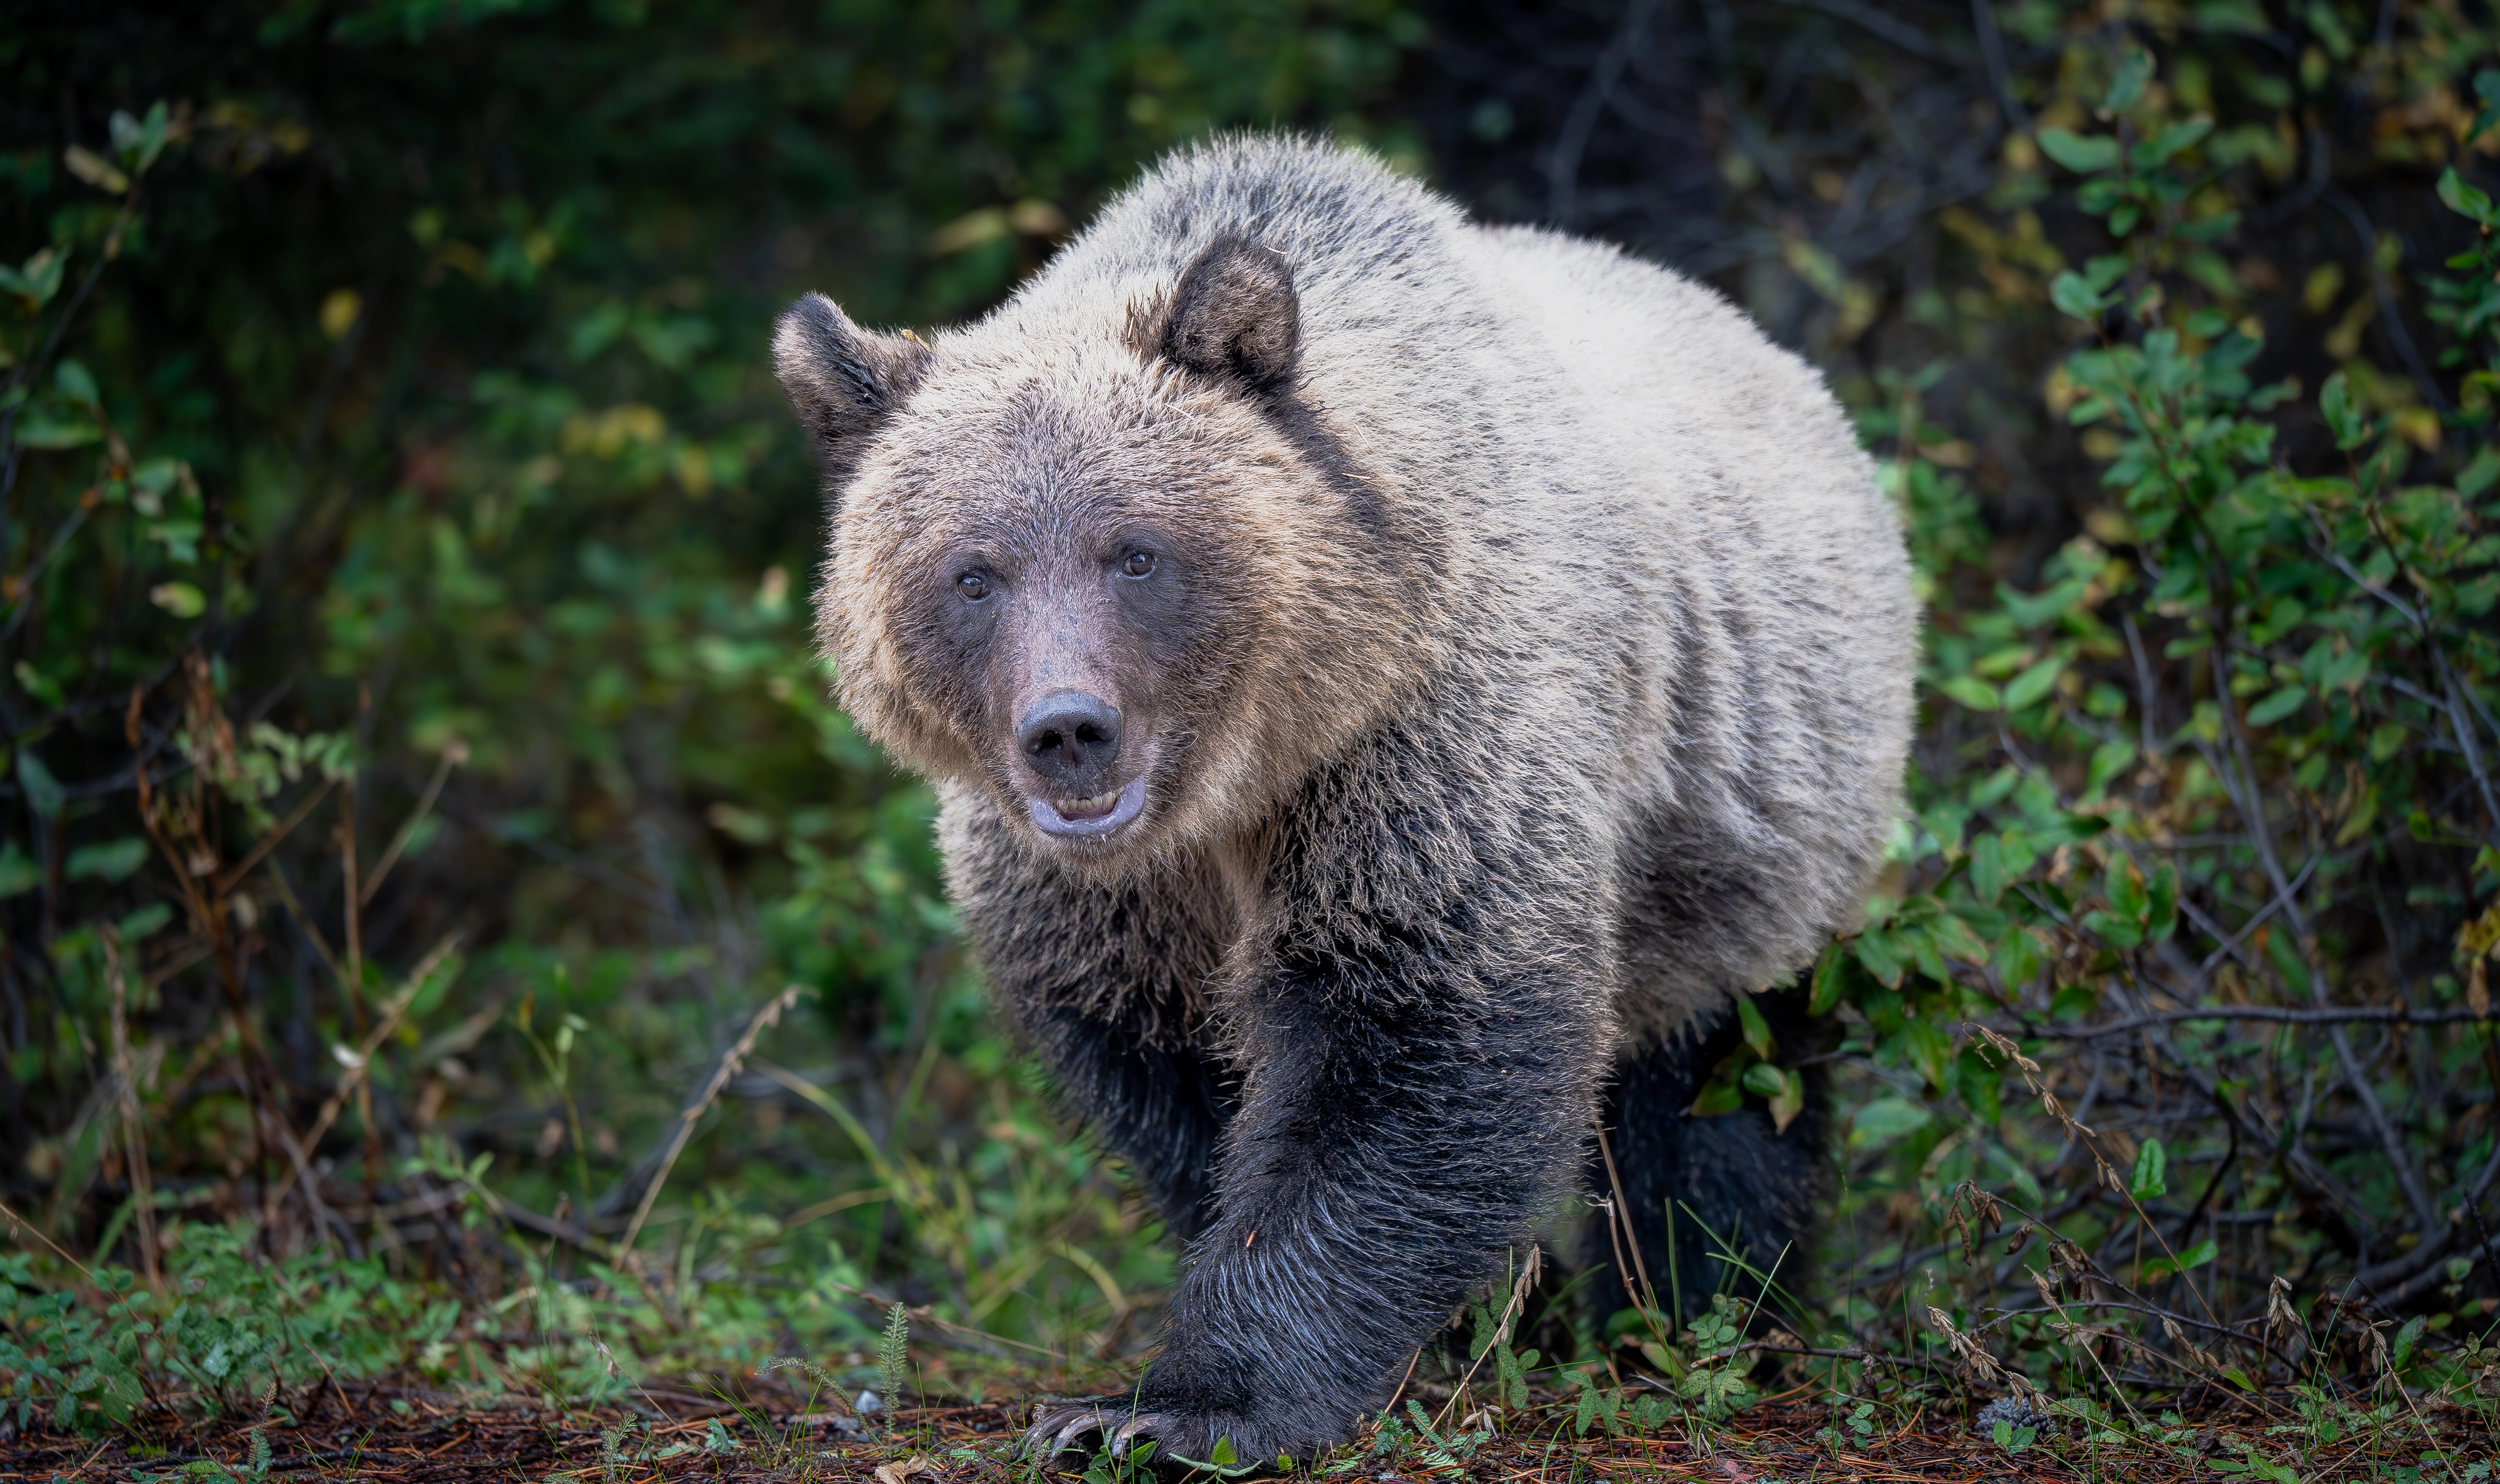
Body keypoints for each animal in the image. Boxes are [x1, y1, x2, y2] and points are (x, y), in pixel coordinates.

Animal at [772, 136, 1916, 1466]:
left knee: (1718, 1092)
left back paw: (1694, 1322)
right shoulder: (1095, 903)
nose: (1066, 732)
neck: (1230, 787)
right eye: (972, 575)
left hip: (1753, 819)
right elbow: (1187, 1087)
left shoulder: (1419, 748)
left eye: (1134, 552)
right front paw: (1450, 1335)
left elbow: (1404, 1042)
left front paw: (1183, 1405)